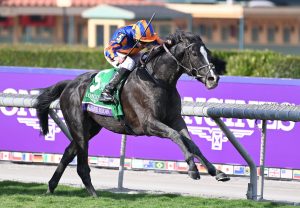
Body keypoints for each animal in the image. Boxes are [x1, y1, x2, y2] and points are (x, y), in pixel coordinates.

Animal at [37, 30, 230, 197]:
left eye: (208, 53)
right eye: (195, 54)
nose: (213, 79)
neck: (159, 81)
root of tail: (70, 84)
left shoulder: (175, 119)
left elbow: (191, 143)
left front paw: (217, 171)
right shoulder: (148, 123)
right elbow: (176, 136)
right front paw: (192, 168)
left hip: (90, 128)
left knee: (69, 152)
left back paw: (51, 187)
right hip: (78, 125)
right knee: (81, 163)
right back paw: (93, 193)